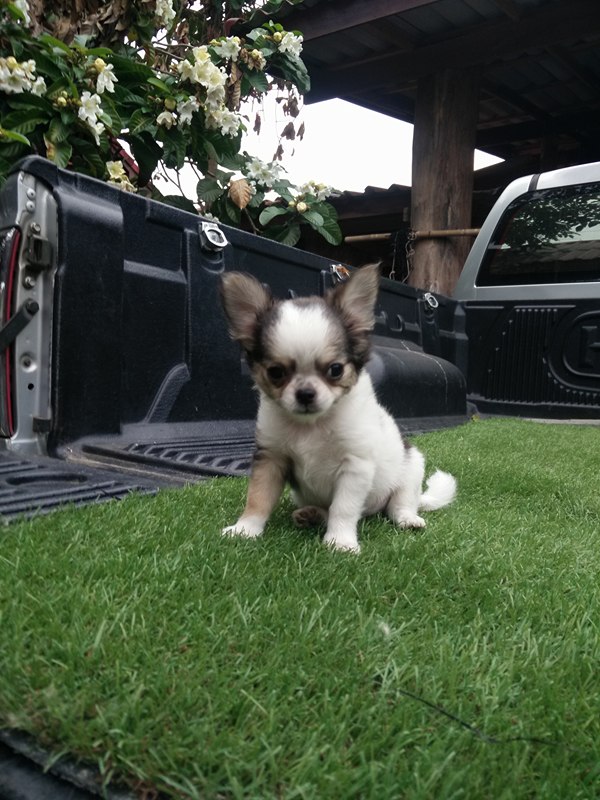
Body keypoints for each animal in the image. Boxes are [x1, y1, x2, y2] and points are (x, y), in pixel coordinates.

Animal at [219, 263, 456, 553]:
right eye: (275, 372)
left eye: (336, 370)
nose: (305, 393)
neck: (311, 426)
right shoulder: (271, 459)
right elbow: (258, 498)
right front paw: (245, 529)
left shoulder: (354, 467)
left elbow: (343, 508)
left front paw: (340, 541)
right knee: (327, 508)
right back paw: (312, 514)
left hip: (410, 471)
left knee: (397, 506)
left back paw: (408, 519)